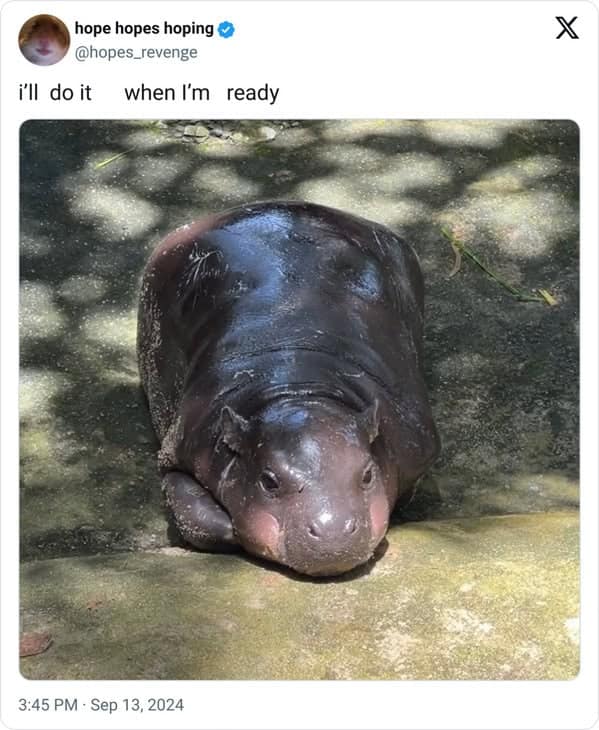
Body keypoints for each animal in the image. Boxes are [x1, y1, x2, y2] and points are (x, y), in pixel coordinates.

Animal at [137, 201, 439, 576]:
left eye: (368, 474)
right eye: (269, 480)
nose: (333, 532)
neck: (300, 392)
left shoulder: (415, 445)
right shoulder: (180, 448)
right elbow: (194, 511)